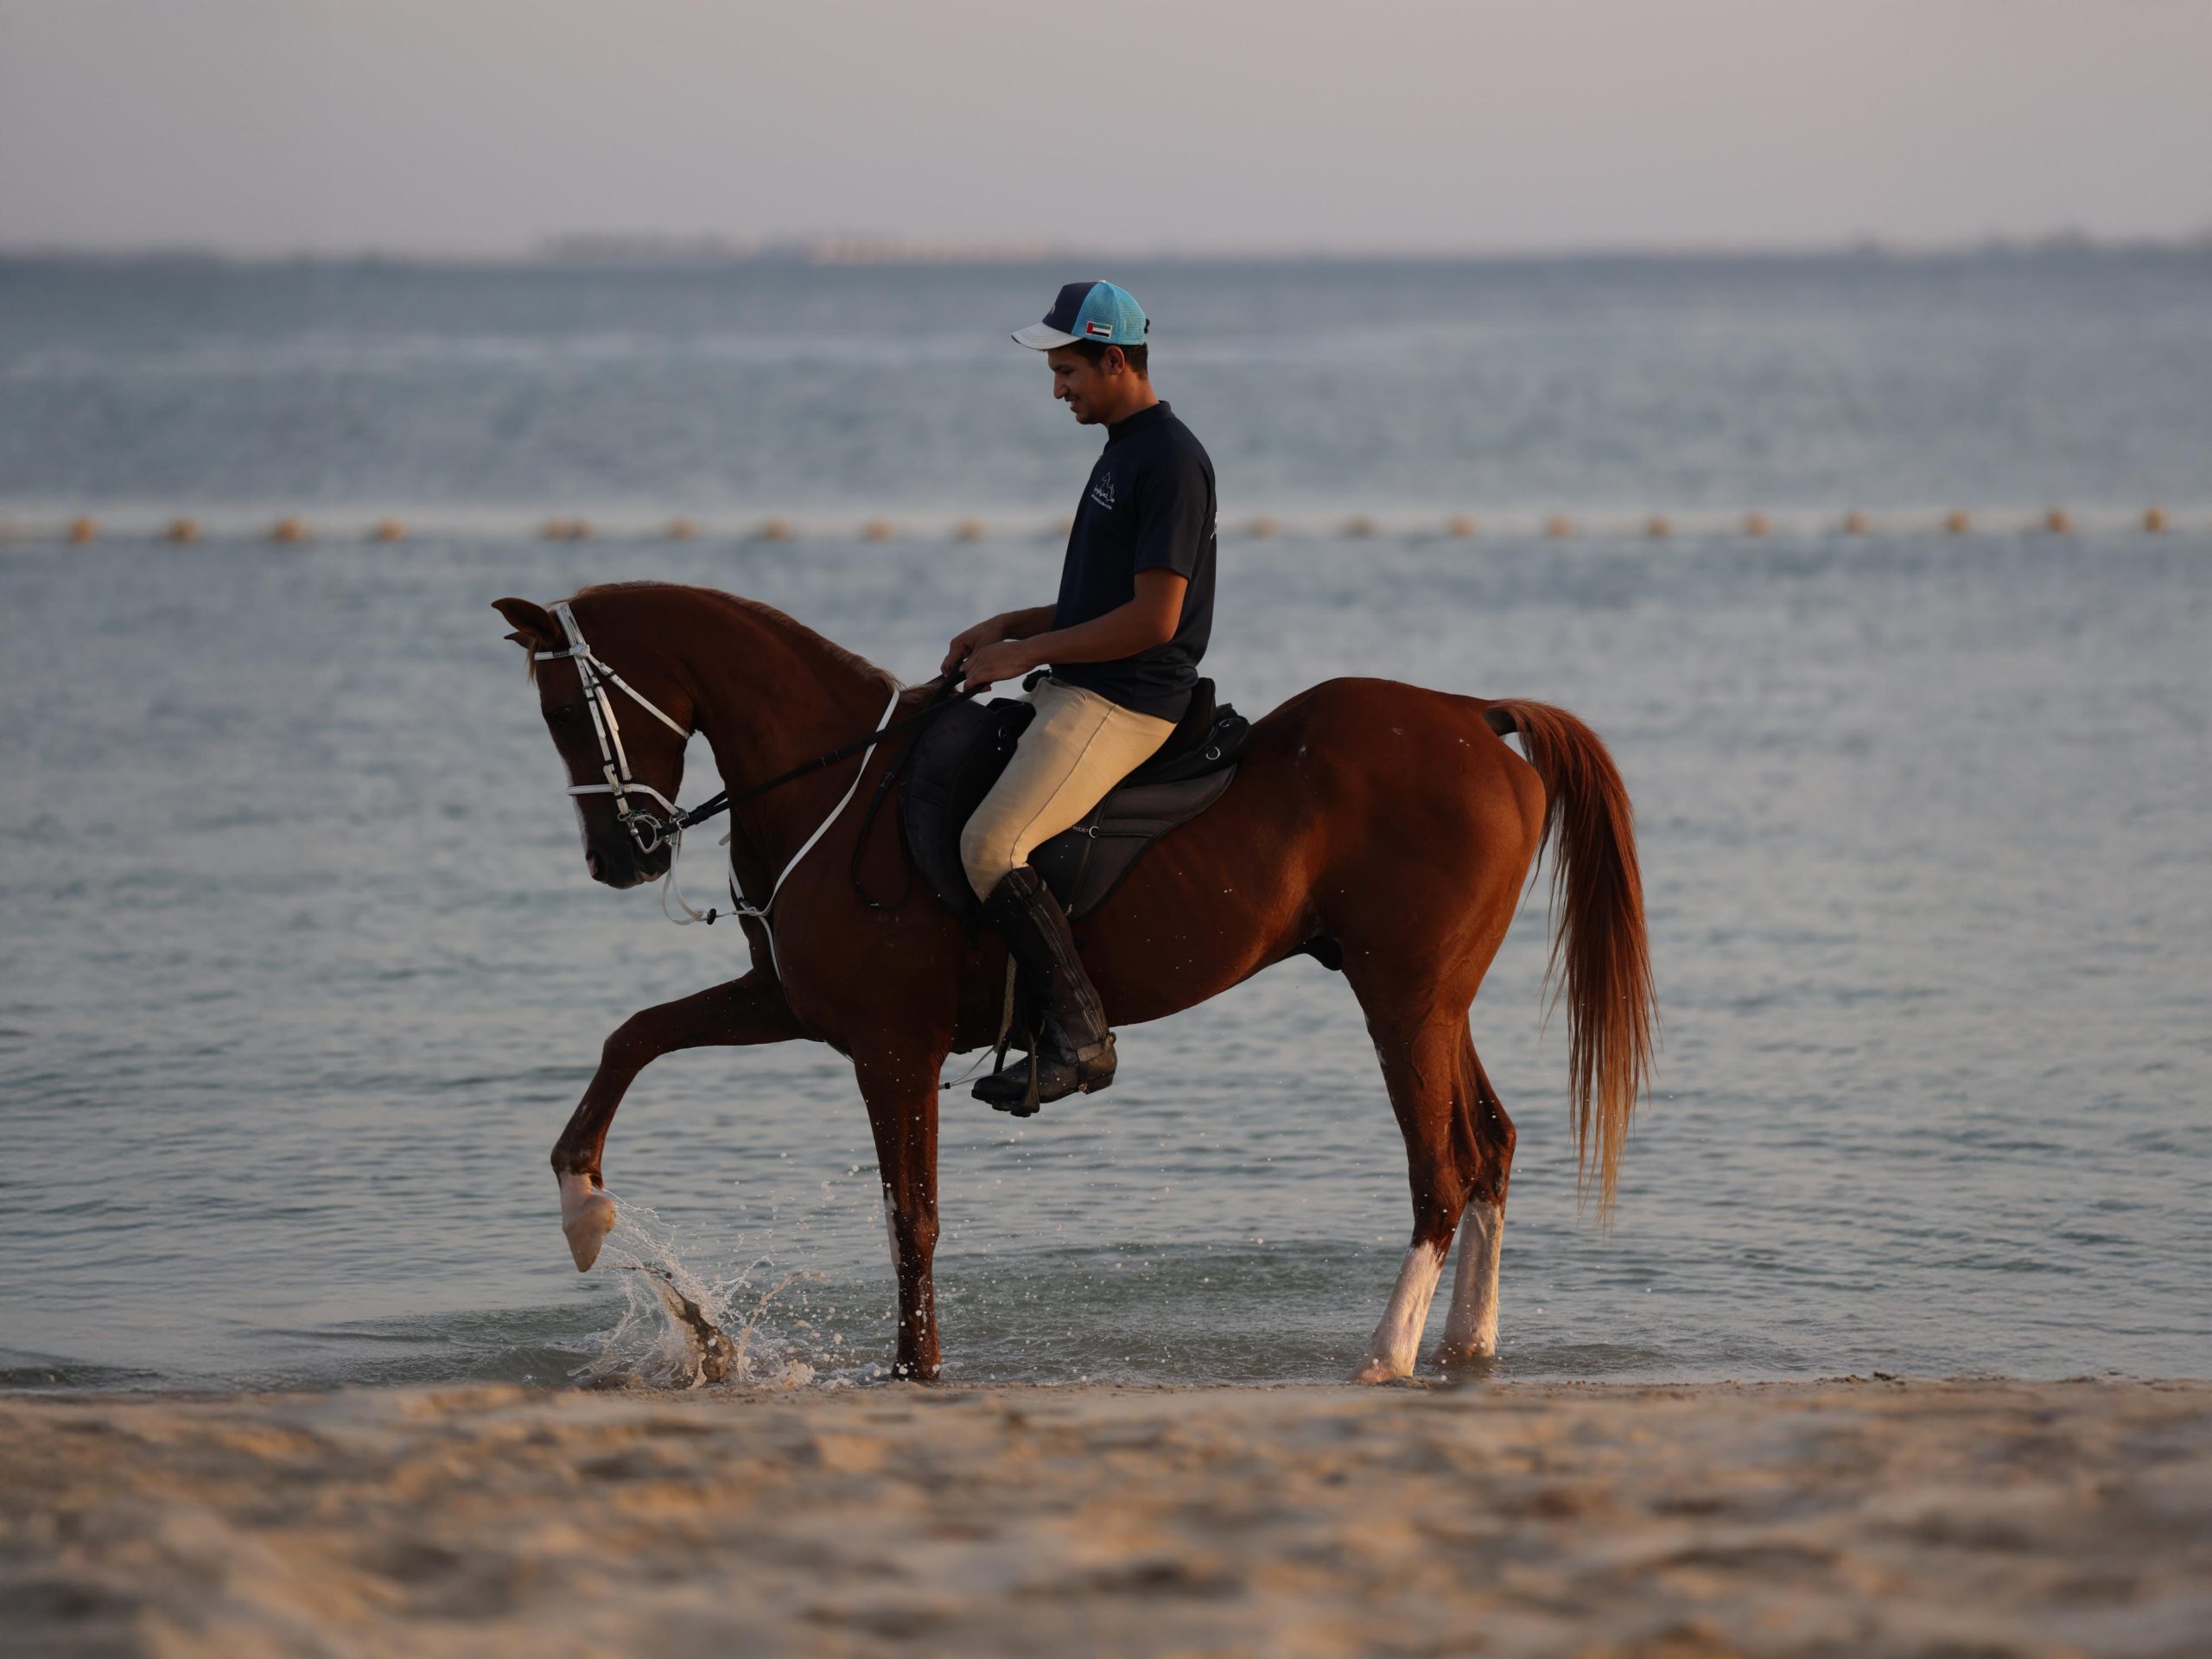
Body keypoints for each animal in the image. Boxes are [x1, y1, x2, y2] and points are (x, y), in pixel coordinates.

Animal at [492, 581, 1654, 1383]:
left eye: (564, 713)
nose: (618, 857)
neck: (837, 781)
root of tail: (1470, 713)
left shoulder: (891, 1047)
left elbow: (911, 1217)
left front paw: (915, 1369)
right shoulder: (795, 1006)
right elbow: (635, 1035)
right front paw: (583, 1206)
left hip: (1401, 1001)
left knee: (1441, 1172)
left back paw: (1387, 1353)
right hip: (1433, 1000)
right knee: (1491, 1146)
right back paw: (1467, 1346)